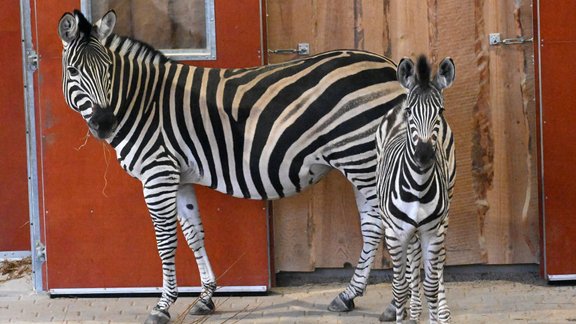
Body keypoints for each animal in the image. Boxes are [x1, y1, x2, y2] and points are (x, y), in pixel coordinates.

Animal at [376, 56, 456, 324]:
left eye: (440, 111)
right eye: (411, 112)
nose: (423, 155)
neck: (419, 187)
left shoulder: (433, 232)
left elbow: (431, 285)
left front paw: (436, 315)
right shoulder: (395, 234)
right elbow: (399, 289)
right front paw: (404, 314)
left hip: (445, 214)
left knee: (438, 263)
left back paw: (442, 311)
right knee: (411, 259)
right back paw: (413, 311)